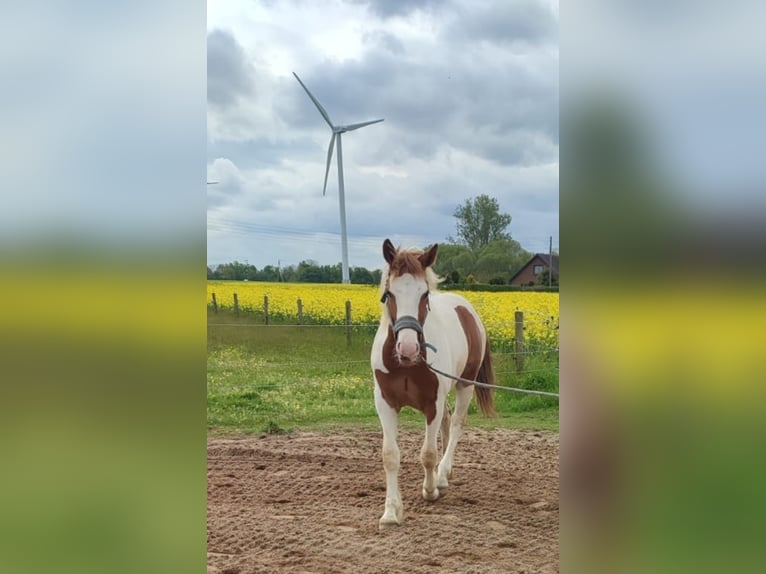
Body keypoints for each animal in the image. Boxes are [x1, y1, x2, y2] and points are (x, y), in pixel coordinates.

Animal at [372, 238, 498, 532]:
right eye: (389, 293)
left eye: (424, 294)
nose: (407, 348)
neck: (406, 365)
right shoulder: (385, 402)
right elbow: (390, 455)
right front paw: (391, 512)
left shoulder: (433, 403)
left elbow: (428, 454)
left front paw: (430, 490)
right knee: (448, 421)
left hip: (465, 385)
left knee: (456, 424)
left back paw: (441, 477)